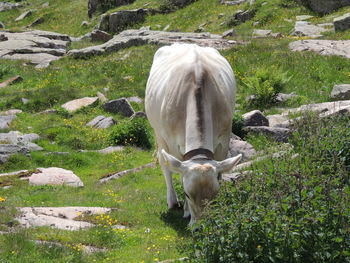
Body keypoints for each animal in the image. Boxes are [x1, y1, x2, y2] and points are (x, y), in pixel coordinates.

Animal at [145, 43, 241, 227]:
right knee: (164, 164)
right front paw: (186, 211)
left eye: (215, 195)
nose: (201, 227)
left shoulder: (224, 139)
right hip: (158, 132)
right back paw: (172, 201)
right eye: (187, 194)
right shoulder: (174, 143)